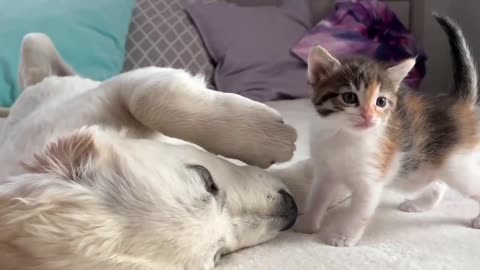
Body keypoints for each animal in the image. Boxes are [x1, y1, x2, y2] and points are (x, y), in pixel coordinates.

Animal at [0, 33, 300, 270]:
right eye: (218, 256)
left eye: (206, 179)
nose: (292, 208)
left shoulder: (112, 92)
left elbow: (147, 97)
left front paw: (270, 138)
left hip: (39, 45)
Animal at [296, 14, 480, 247]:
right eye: (349, 97)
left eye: (381, 101)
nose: (368, 116)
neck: (343, 136)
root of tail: (459, 103)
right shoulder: (324, 171)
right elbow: (316, 199)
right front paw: (306, 226)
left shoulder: (370, 180)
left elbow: (359, 213)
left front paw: (343, 237)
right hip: (425, 168)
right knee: (438, 184)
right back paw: (419, 205)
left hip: (458, 167)